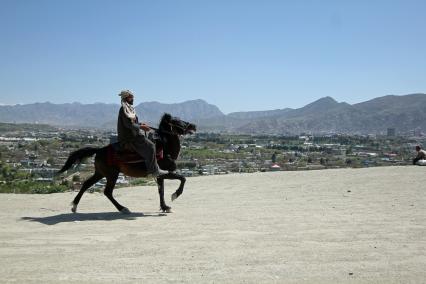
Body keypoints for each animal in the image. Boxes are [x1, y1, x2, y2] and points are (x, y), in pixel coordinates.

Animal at [58, 113, 196, 213]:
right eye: (178, 121)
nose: (193, 126)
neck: (164, 148)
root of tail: (99, 150)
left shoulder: (159, 176)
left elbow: (161, 191)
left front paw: (165, 207)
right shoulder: (163, 173)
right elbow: (182, 178)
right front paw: (175, 195)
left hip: (101, 173)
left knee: (87, 184)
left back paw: (74, 206)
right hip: (111, 175)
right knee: (107, 192)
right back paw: (122, 208)